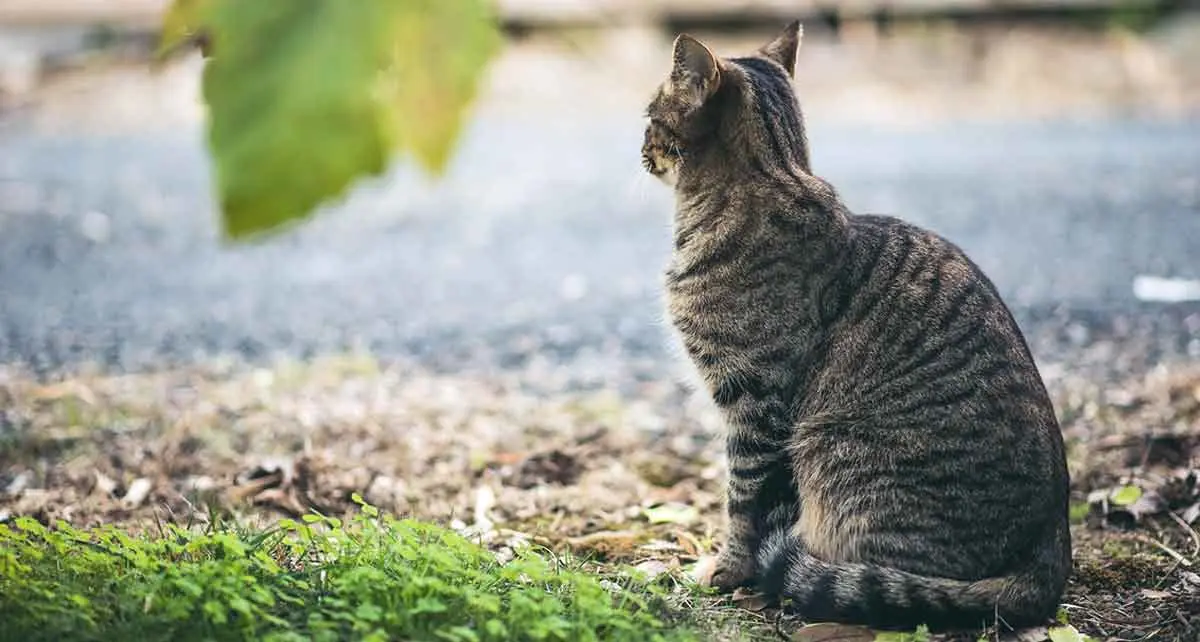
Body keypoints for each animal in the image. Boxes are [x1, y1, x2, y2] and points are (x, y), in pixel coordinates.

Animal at [643, 21, 1075, 633]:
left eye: (649, 116)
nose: (639, 149)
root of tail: (1052, 554)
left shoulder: (755, 403)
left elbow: (744, 501)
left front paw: (727, 571)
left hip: (834, 453)